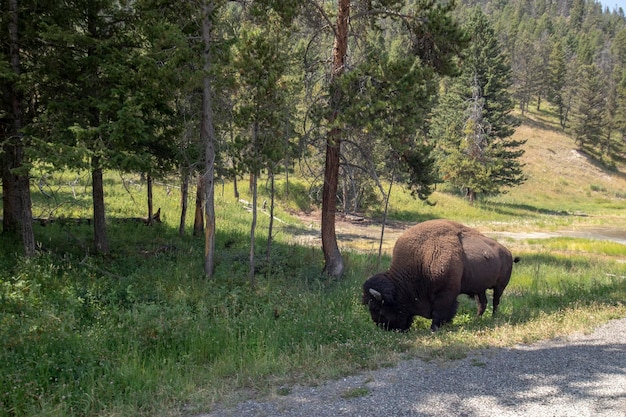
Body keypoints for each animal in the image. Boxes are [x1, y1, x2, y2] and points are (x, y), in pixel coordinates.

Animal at [360, 218, 516, 332]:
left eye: (376, 308)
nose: (382, 327)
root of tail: (508, 252)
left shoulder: (446, 293)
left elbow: (439, 312)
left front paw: (434, 328)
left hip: (500, 286)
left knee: (495, 302)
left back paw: (493, 318)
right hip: (480, 289)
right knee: (483, 303)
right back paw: (477, 319)